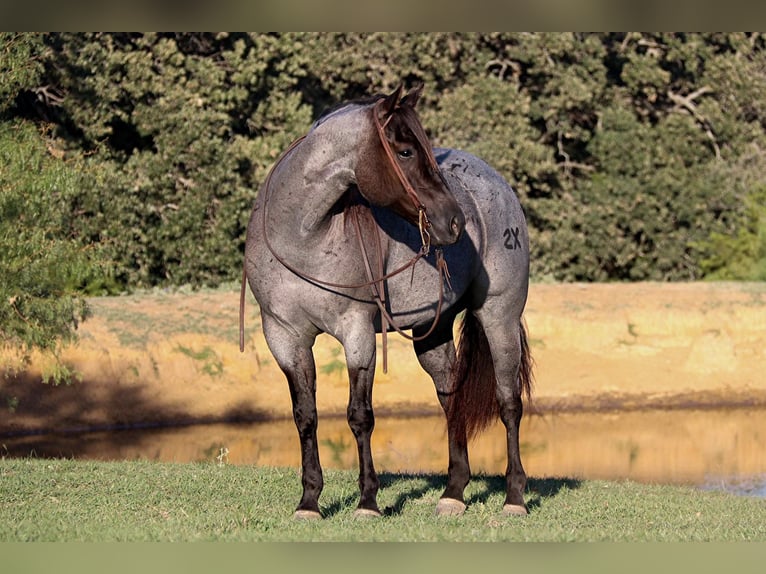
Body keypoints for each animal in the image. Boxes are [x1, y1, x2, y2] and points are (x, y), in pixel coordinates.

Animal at [242, 85, 536, 520]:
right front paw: (309, 501)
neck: (303, 238)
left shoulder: (357, 333)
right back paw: (453, 493)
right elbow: (305, 416)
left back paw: (514, 497)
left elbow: (360, 416)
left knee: (509, 402)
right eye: (405, 151)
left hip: (499, 318)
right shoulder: (285, 338)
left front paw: (367, 501)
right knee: (451, 398)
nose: (454, 221)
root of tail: (498, 184)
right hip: (432, 332)